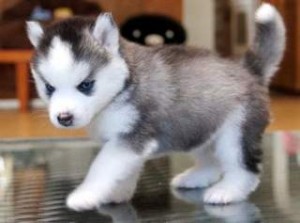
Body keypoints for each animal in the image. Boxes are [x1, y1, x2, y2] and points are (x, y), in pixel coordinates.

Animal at [27, 4, 284, 212]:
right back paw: (196, 178)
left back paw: (228, 191)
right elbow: (121, 171)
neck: (123, 87)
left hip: (235, 134)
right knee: (211, 161)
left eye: (86, 85)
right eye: (49, 87)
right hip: (197, 128)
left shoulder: (131, 138)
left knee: (244, 169)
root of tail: (248, 71)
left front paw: (86, 194)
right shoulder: (125, 145)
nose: (64, 117)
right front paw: (116, 193)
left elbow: (102, 167)